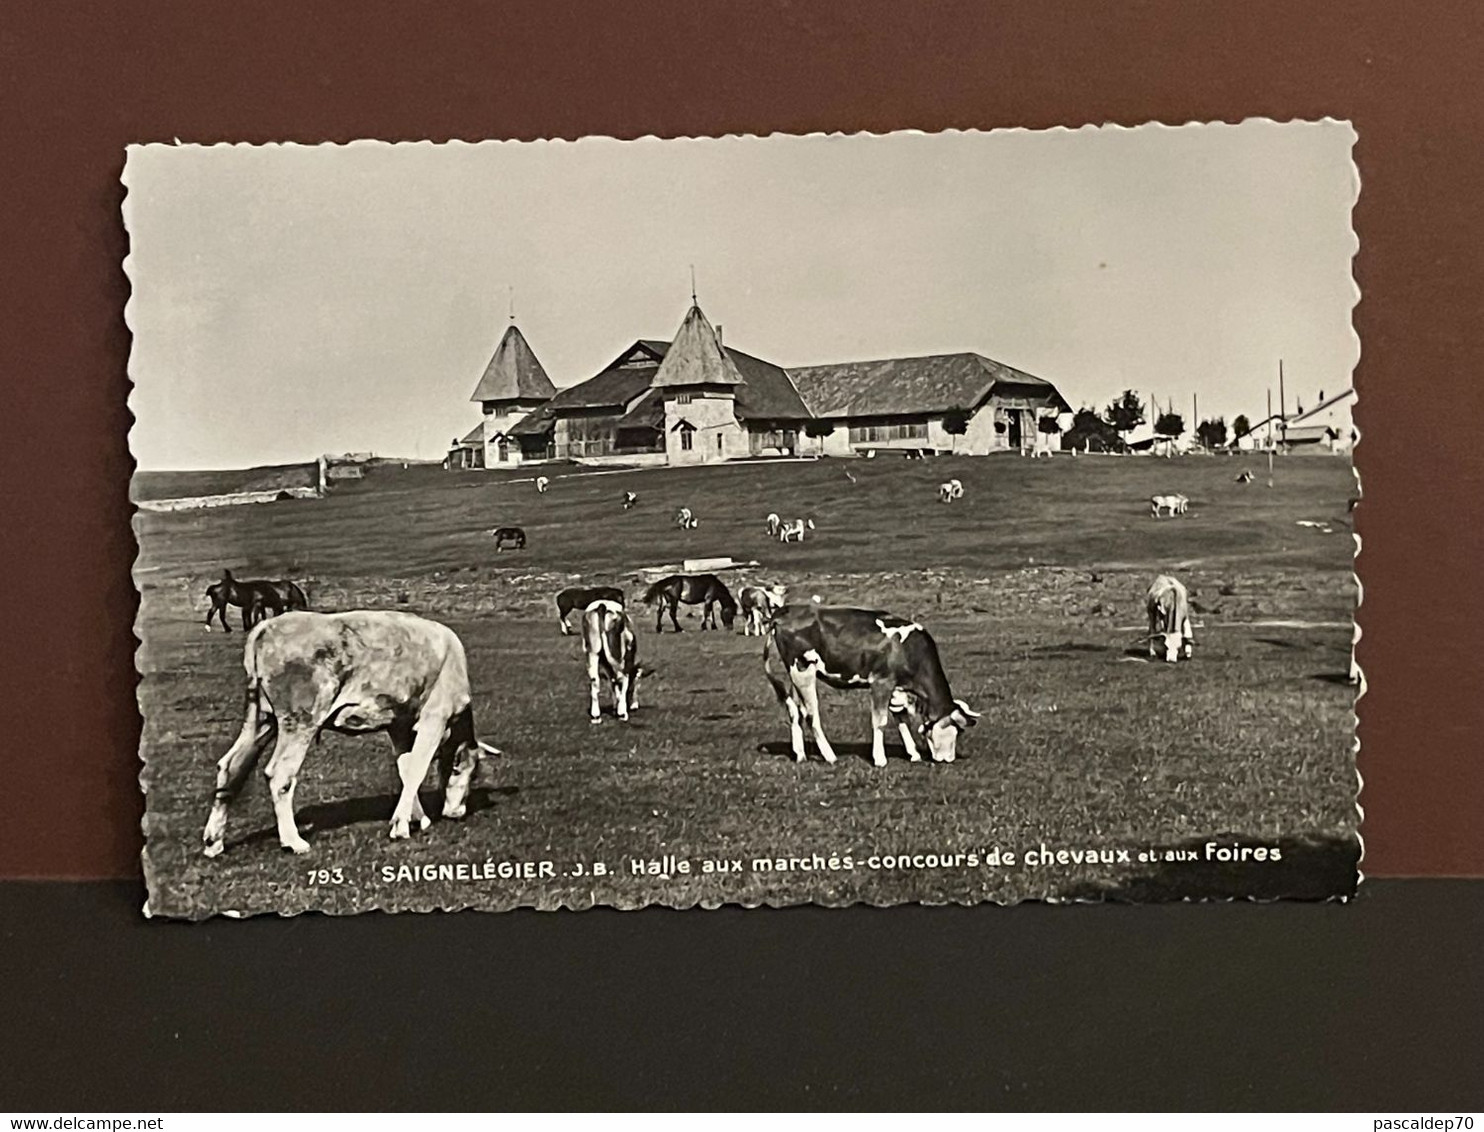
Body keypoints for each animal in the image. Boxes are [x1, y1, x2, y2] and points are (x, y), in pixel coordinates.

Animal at [200, 611, 501, 860]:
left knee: (230, 766)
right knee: (280, 774)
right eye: (470, 771)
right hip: (300, 719)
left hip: (261, 717)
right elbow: (417, 769)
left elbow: (405, 769)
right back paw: (294, 842)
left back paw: (214, 842)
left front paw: (418, 818)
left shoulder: (398, 724)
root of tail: (266, 626)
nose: (457, 813)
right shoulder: (434, 717)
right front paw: (401, 826)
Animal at [765, 602, 985, 771]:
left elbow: (902, 720)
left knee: (795, 711)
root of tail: (786, 610)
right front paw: (880, 759)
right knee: (812, 715)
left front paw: (913, 754)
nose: (948, 759)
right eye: (953, 729)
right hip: (803, 671)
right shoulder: (881, 682)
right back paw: (830, 756)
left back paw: (800, 754)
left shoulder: (897, 689)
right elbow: (880, 721)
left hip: (794, 674)